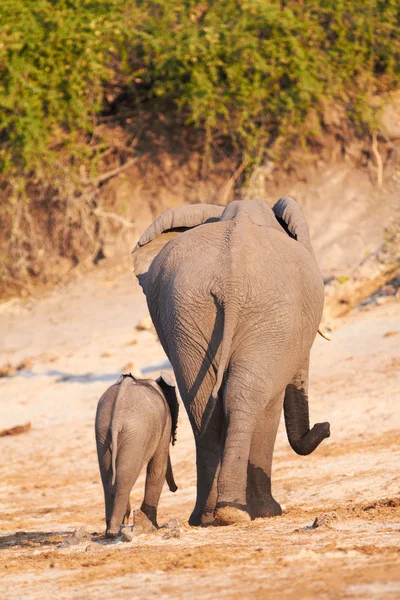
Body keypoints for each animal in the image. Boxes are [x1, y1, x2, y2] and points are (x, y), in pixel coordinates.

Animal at [95, 372, 178, 536]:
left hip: (103, 429)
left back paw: (111, 529)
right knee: (126, 475)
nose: (175, 489)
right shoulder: (165, 424)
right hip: (136, 432)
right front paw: (154, 527)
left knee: (109, 478)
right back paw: (114, 530)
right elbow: (157, 468)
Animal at [131, 198, 328, 524]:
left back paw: (206, 517)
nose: (325, 427)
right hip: (269, 316)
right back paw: (239, 511)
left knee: (200, 404)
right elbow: (269, 406)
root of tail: (231, 281)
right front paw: (268, 513)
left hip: (186, 314)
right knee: (248, 398)